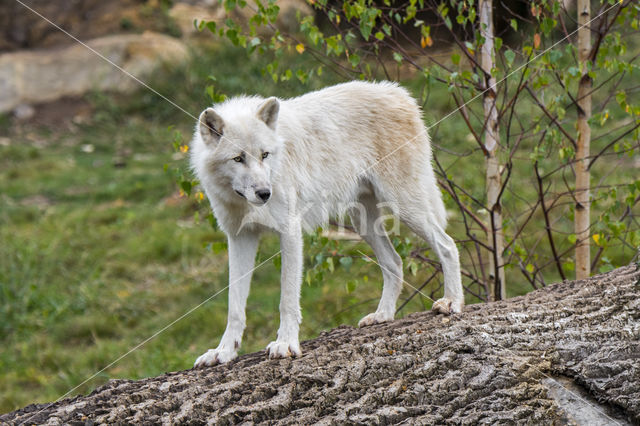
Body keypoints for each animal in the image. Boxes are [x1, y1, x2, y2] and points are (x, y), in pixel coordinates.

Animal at [192, 81, 462, 368]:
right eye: (238, 158)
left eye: (265, 155)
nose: (265, 193)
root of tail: (399, 93)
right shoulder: (239, 237)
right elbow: (234, 306)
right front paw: (223, 352)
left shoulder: (290, 232)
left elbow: (287, 300)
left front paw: (286, 344)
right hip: (362, 221)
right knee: (395, 261)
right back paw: (382, 315)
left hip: (406, 206)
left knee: (447, 245)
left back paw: (452, 302)